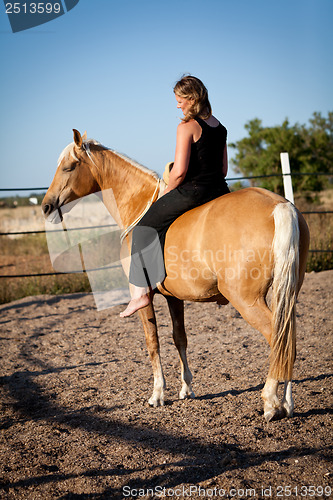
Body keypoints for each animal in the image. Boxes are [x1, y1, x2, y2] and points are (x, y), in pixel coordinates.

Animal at [41, 130, 308, 422]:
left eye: (69, 167)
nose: (46, 206)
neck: (138, 206)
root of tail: (280, 206)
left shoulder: (145, 297)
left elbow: (153, 341)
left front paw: (157, 394)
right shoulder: (174, 297)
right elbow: (180, 338)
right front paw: (186, 388)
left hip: (247, 301)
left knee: (277, 339)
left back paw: (271, 402)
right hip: (286, 296)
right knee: (289, 340)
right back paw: (288, 403)